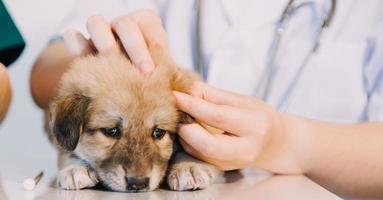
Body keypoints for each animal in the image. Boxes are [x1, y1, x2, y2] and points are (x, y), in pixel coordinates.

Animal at [48, 46, 222, 193]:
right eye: (111, 131)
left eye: (159, 132)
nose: (138, 183)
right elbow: (68, 152)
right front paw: (75, 169)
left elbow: (186, 151)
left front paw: (188, 167)